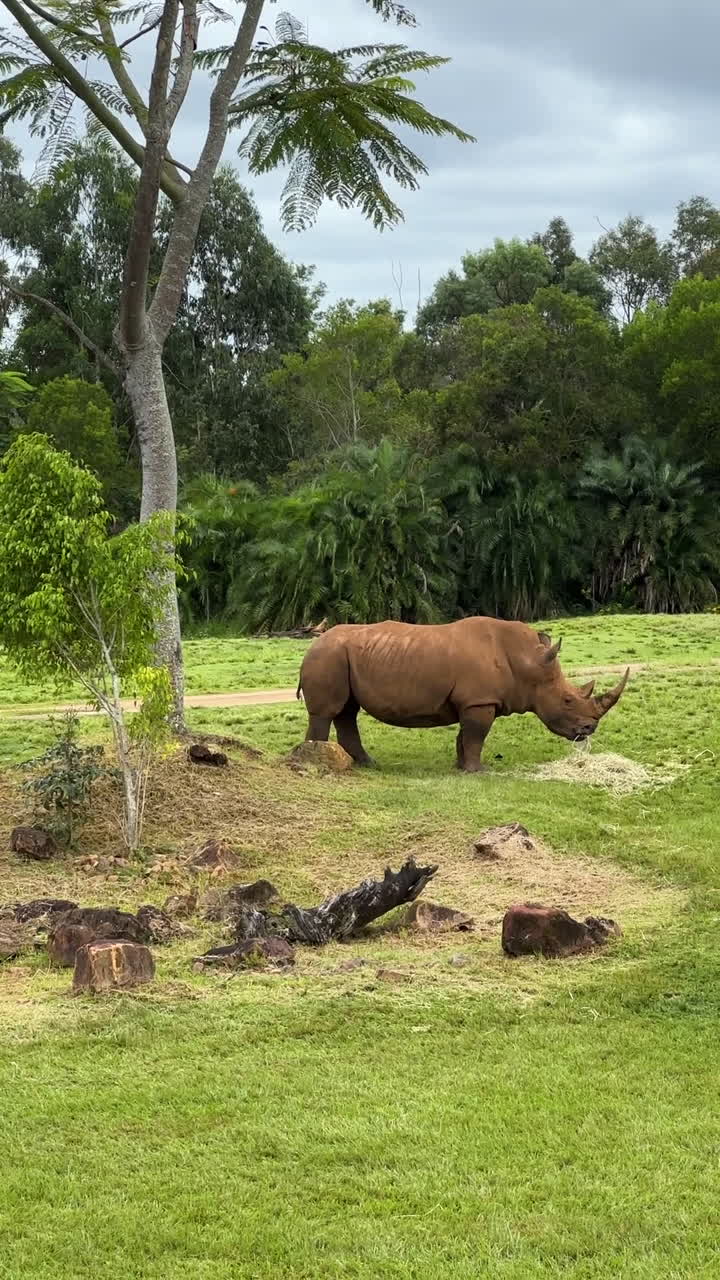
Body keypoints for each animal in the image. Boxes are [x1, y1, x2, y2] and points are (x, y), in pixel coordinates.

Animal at [297, 617, 629, 773]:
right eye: (568, 700)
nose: (590, 729)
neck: (527, 662)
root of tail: (313, 643)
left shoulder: (472, 701)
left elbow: (465, 736)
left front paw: (460, 768)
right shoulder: (479, 701)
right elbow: (476, 735)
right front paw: (479, 771)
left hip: (339, 656)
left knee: (347, 711)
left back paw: (367, 764)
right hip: (328, 655)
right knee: (328, 711)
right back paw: (318, 763)